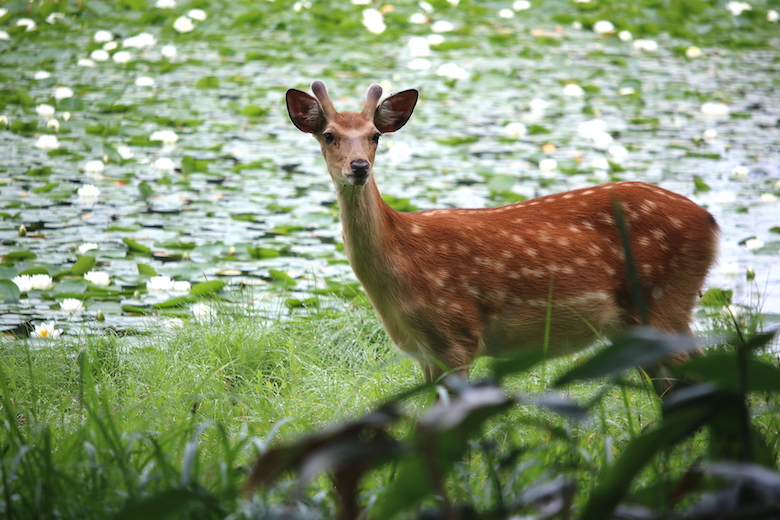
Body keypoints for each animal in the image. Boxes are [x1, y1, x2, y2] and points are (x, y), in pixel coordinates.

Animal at [286, 81, 720, 390]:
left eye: (375, 135)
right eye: (328, 135)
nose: (359, 167)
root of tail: (711, 221)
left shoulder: (455, 335)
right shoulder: (426, 351)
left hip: (665, 302)